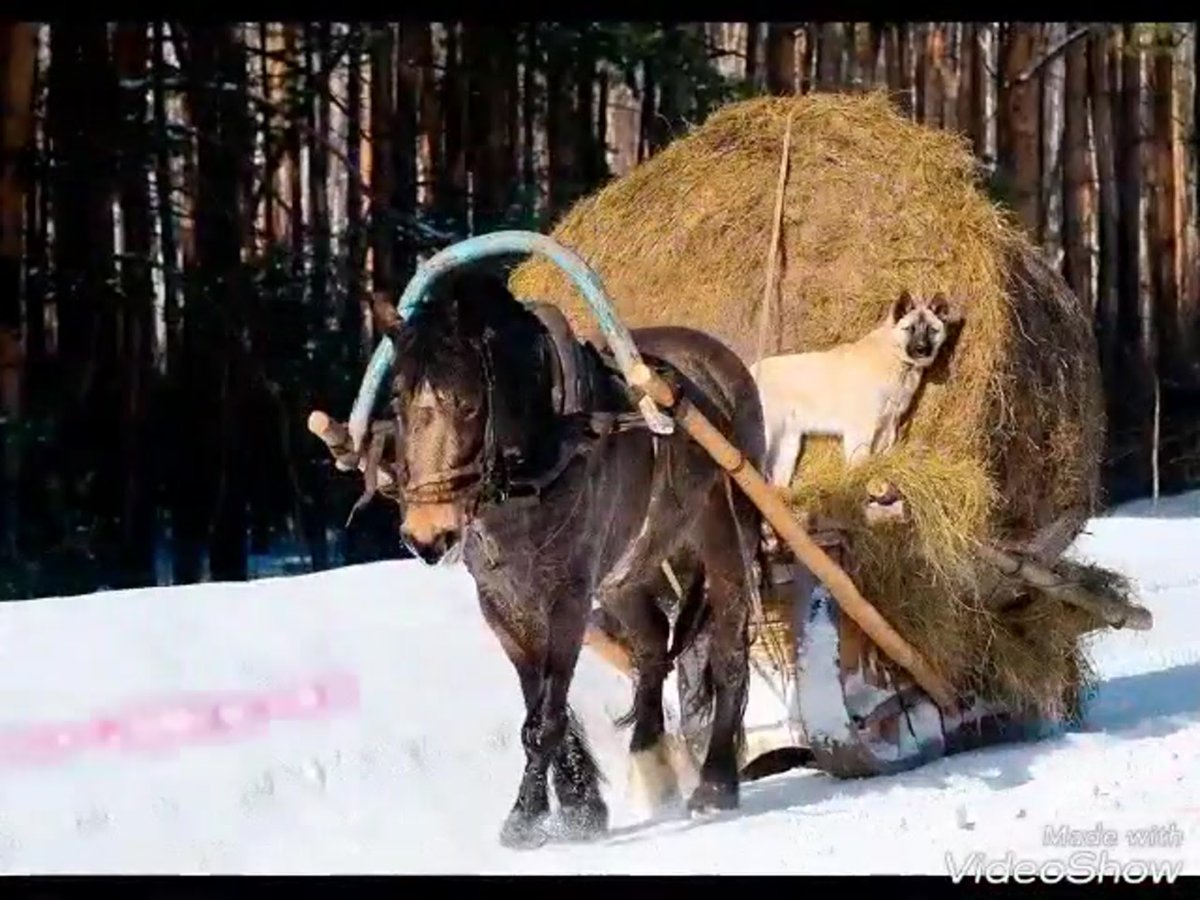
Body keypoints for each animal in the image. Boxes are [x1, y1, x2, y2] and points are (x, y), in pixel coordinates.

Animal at [353, 266, 766, 849]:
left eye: (467, 404)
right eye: (398, 406)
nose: (426, 534)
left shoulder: (567, 594)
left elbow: (545, 716)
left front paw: (527, 817)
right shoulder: (502, 601)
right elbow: (539, 704)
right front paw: (578, 804)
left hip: (723, 533)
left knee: (728, 653)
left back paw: (715, 782)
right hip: (626, 573)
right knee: (651, 648)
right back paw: (652, 760)